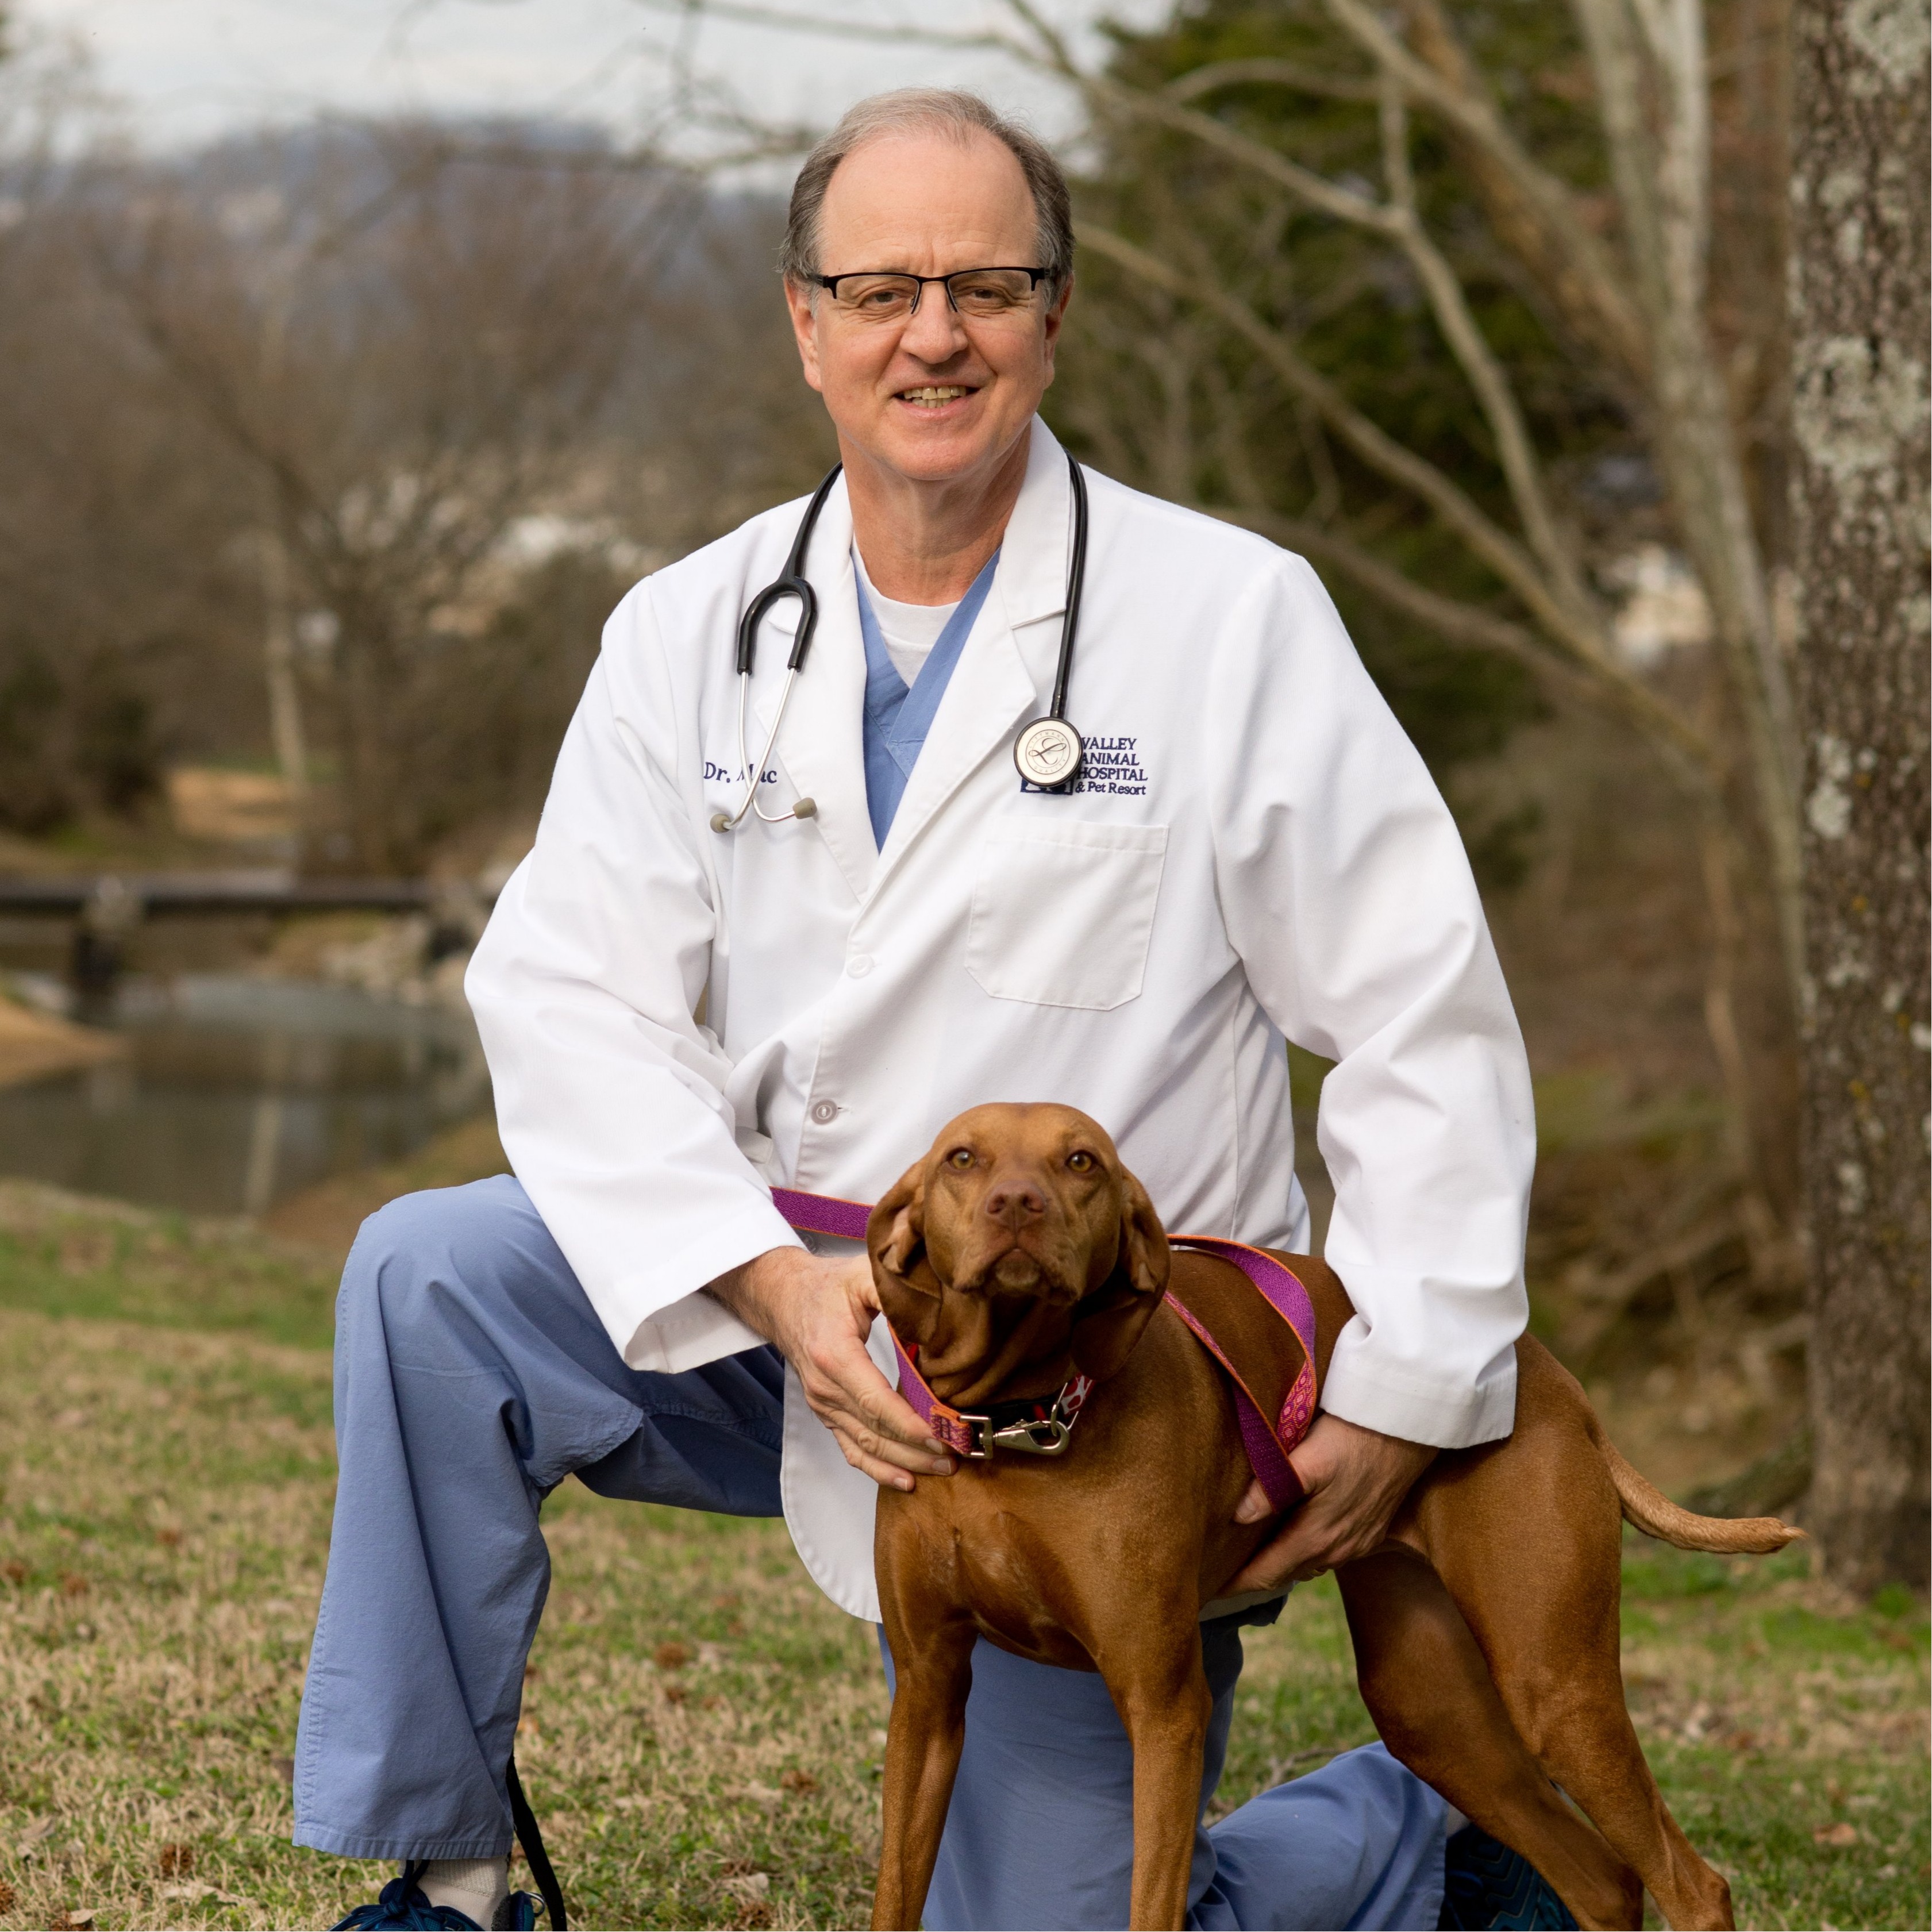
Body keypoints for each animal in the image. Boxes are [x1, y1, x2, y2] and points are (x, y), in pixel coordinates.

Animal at [861, 1105, 1792, 1932]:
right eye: (962, 1158)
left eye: (1080, 1161)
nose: (1016, 1203)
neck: (1012, 1426)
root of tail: (1551, 1374)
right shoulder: (927, 1697)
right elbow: (896, 1891)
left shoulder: (1164, 1706)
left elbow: (1149, 1905)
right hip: (1431, 1711)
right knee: (1604, 1880)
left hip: (1553, 1685)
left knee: (1691, 1885)